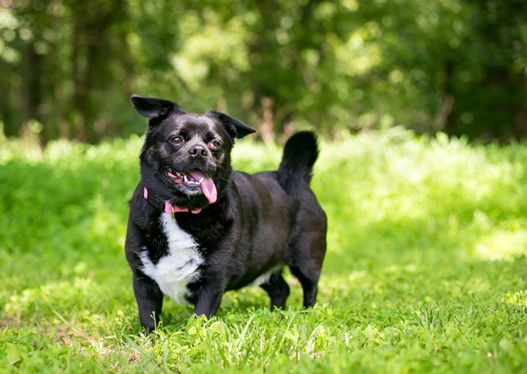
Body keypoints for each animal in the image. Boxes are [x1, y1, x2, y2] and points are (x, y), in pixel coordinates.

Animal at [125, 95, 328, 332]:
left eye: (215, 144)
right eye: (176, 139)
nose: (199, 151)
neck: (179, 210)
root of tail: (299, 179)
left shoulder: (212, 283)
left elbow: (199, 319)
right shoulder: (143, 281)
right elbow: (148, 319)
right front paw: (150, 340)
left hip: (307, 261)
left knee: (310, 290)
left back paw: (306, 316)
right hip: (261, 265)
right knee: (282, 289)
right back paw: (275, 316)